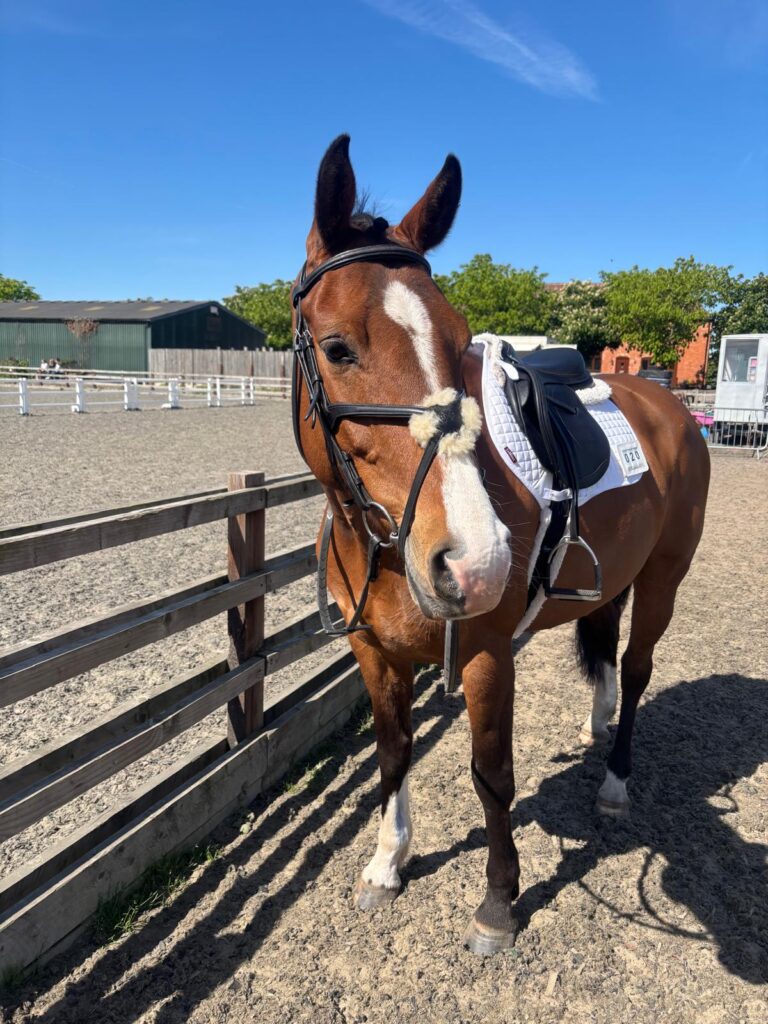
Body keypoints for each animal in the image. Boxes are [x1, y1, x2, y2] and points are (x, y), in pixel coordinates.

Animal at [290, 134, 710, 955]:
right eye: (336, 347)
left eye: (460, 346)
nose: (474, 560)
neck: (383, 546)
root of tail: (669, 402)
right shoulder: (374, 654)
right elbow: (393, 753)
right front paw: (387, 864)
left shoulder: (487, 654)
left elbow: (492, 773)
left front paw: (498, 901)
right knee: (606, 652)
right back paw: (596, 725)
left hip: (664, 579)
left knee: (637, 669)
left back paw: (616, 777)